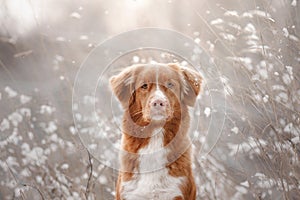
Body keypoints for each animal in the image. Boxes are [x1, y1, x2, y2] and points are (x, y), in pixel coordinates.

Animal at [109, 63, 203, 200]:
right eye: (144, 86)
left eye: (170, 84)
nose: (158, 102)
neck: (155, 138)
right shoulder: (129, 191)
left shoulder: (175, 191)